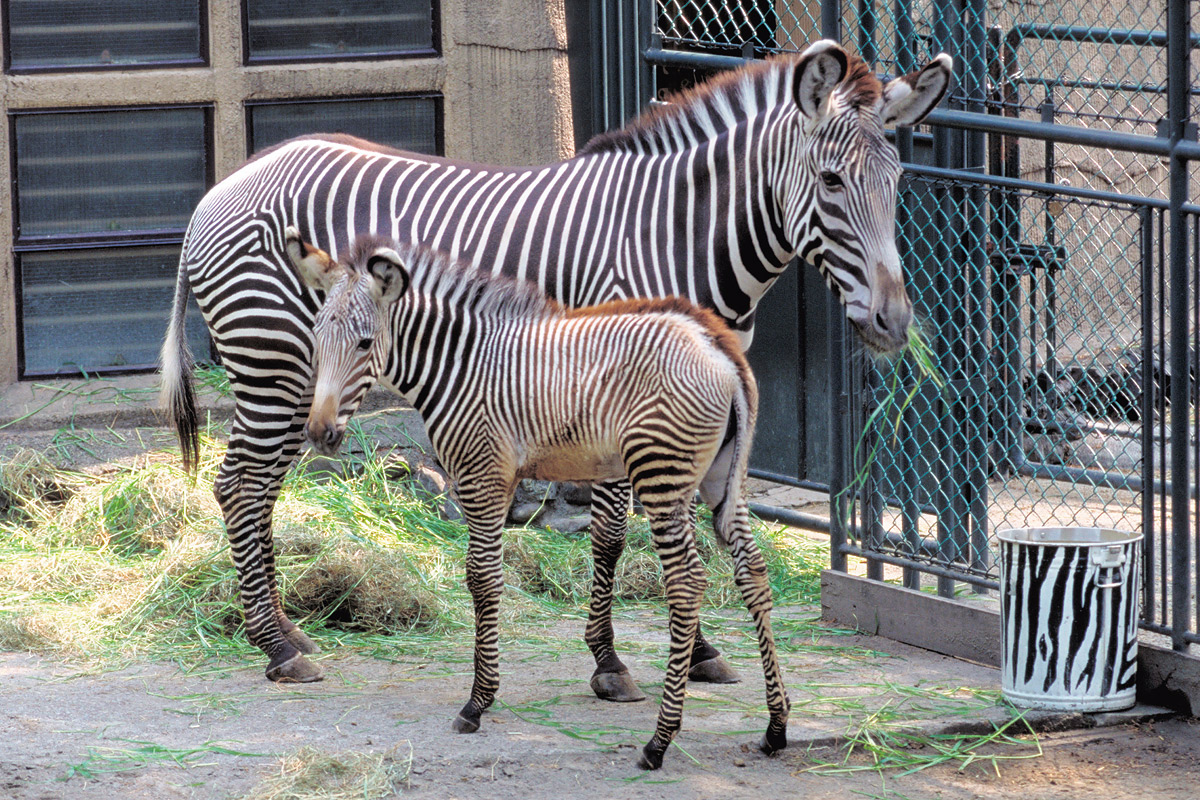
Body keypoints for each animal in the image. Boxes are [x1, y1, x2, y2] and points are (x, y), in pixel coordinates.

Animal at [159, 40, 950, 686]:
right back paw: (275, 646)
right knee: (240, 486)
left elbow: (682, 525)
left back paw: (287, 633)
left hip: (303, 378)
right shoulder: (625, 387)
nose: (894, 323)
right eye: (831, 182)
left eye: (899, 181)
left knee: (256, 488)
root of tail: (220, 190)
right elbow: (613, 532)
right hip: (275, 361)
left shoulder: (697, 397)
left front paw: (695, 652)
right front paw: (609, 660)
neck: (681, 234)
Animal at [283, 230, 787, 767]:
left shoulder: (481, 474)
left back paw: (660, 741)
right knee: (753, 572)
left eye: (364, 343)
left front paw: (478, 702)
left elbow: (482, 579)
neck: (460, 364)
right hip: (720, 477)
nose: (318, 433)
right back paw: (775, 727)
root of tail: (718, 346)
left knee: (687, 583)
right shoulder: (498, 478)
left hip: (661, 473)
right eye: (316, 338)